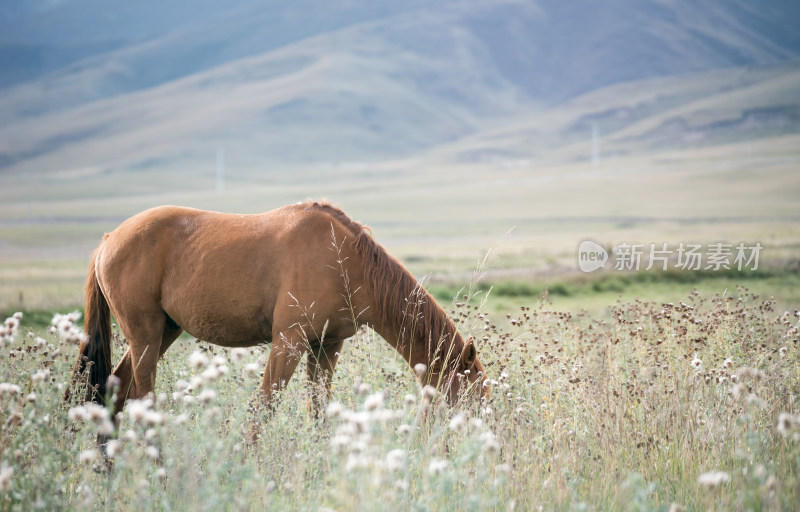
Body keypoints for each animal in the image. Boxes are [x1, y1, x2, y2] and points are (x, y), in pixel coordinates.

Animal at [75, 200, 488, 424]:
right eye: (473, 394)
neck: (344, 260)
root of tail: (109, 240)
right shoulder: (288, 341)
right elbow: (264, 408)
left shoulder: (326, 345)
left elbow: (318, 411)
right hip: (145, 335)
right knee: (141, 398)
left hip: (164, 331)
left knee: (115, 390)